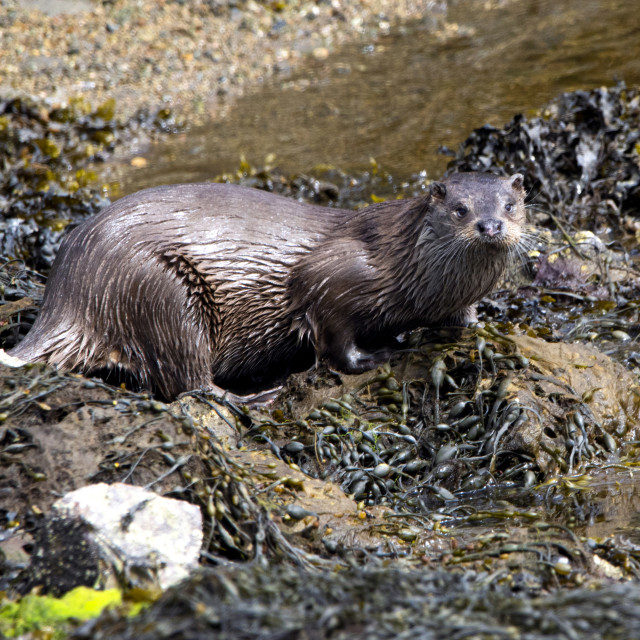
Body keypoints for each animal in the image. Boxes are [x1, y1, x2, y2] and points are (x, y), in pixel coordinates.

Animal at [7, 172, 524, 398]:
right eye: (459, 208)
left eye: (511, 204)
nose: (490, 225)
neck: (401, 265)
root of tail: (68, 294)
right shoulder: (334, 277)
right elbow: (333, 339)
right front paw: (376, 356)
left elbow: (462, 318)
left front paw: (479, 329)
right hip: (160, 291)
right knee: (187, 383)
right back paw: (257, 396)